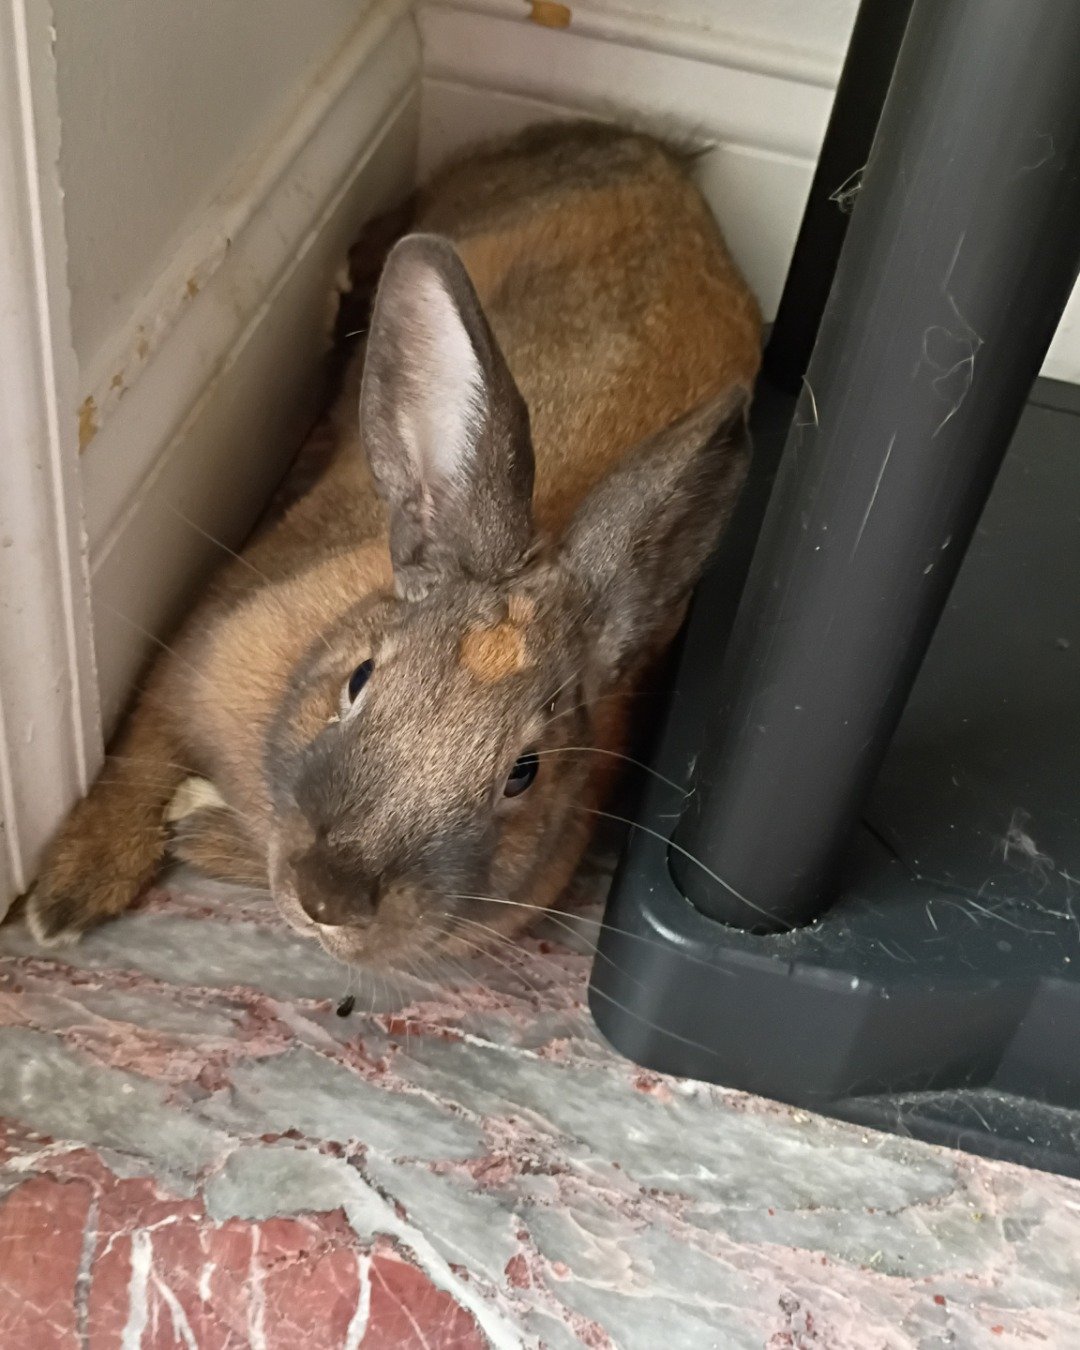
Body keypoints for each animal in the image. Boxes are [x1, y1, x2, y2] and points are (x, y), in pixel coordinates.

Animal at [25, 121, 762, 968]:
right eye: (359, 680)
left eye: (524, 774)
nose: (330, 894)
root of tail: (651, 151)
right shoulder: (189, 653)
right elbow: (135, 763)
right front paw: (66, 894)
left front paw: (193, 823)